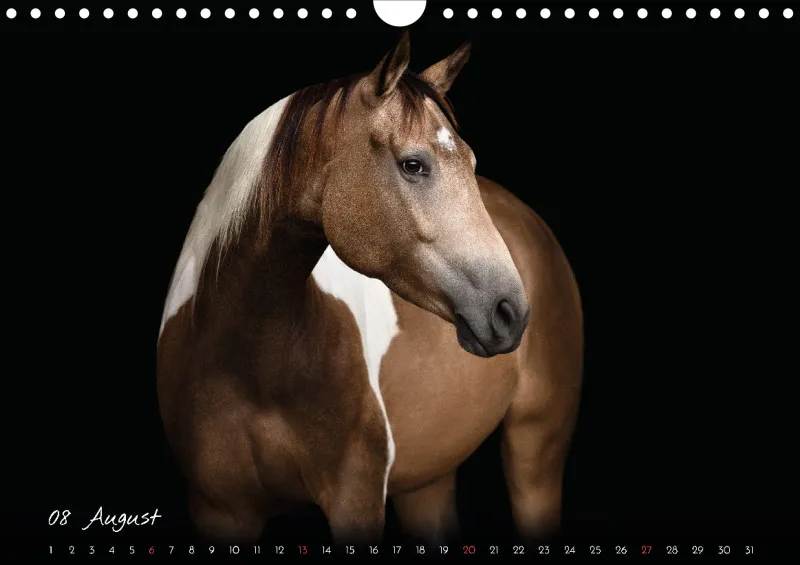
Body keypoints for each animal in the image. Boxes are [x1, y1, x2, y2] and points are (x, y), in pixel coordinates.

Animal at [157, 32, 583, 545]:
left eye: (470, 162)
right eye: (413, 164)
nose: (510, 310)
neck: (250, 365)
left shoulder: (354, 499)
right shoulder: (219, 510)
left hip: (536, 449)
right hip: (427, 481)